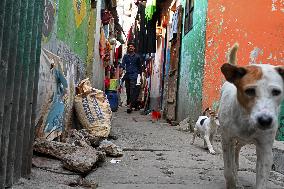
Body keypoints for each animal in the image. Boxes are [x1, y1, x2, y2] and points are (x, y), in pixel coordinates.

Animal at [219, 43, 282, 189]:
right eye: (249, 91)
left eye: (276, 92)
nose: (265, 121)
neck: (246, 118)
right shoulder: (226, 140)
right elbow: (228, 171)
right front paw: (232, 183)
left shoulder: (265, 149)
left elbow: (262, 180)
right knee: (233, 155)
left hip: (244, 141)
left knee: (237, 150)